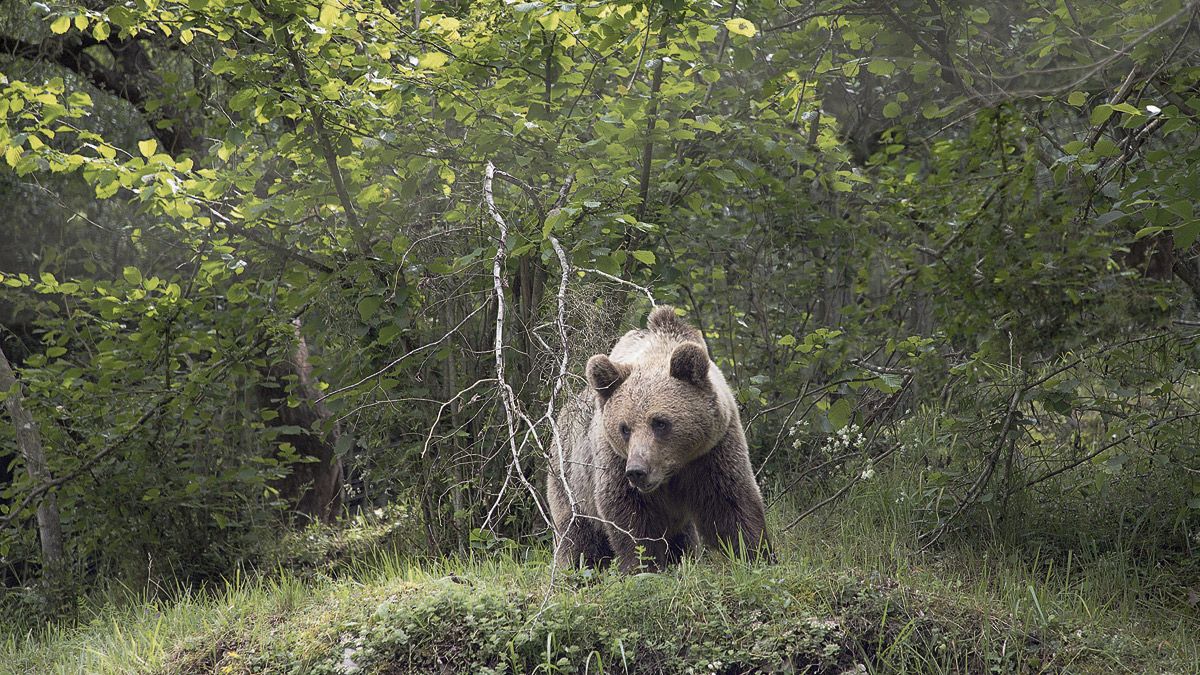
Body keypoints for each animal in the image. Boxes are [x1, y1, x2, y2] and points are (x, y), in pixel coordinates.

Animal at [546, 305, 771, 572]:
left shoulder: (712, 451)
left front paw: (755, 555)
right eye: (624, 428)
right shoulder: (614, 461)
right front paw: (643, 565)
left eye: (660, 422)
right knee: (578, 535)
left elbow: (731, 502)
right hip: (571, 480)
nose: (637, 471)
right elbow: (631, 518)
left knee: (684, 537)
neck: (672, 471)